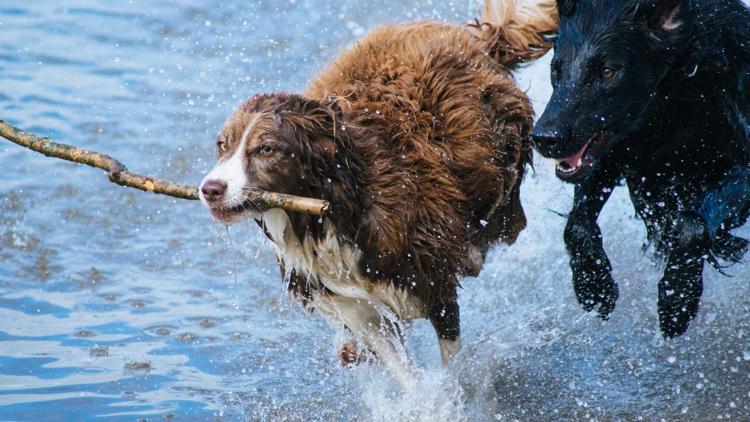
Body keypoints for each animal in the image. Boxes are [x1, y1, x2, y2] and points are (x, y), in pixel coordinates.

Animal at [200, 0, 560, 390]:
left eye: (266, 149)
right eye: (222, 145)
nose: (210, 189)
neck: (331, 208)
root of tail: (477, 40)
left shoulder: (432, 280)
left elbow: (451, 358)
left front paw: (453, 393)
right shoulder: (352, 302)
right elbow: (399, 365)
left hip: (499, 163)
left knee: (503, 217)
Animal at [532, 0, 750, 336]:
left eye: (608, 71)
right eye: (557, 69)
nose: (544, 138)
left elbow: (693, 225)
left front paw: (677, 299)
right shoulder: (611, 154)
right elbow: (577, 226)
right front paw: (594, 287)